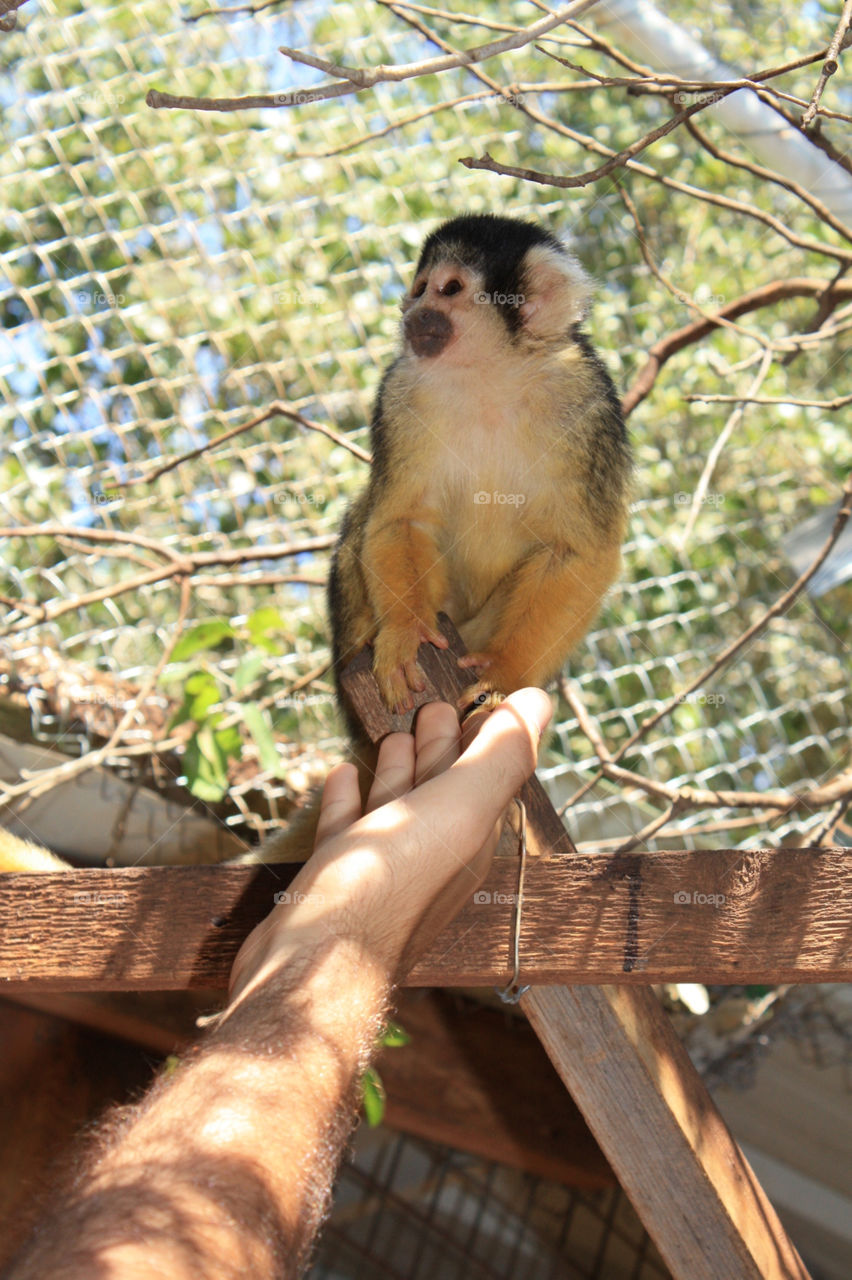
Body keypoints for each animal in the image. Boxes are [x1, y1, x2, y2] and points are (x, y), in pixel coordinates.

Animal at [1, 215, 629, 875]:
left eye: (451, 289)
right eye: (421, 287)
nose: (414, 311)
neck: (489, 376)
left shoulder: (588, 402)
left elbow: (583, 550)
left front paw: (505, 673)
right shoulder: (400, 393)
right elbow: (398, 519)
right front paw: (404, 633)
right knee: (362, 524)